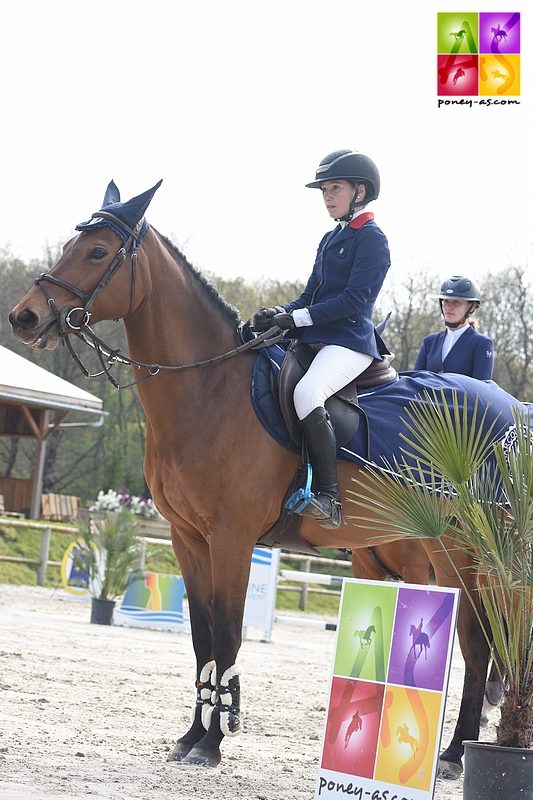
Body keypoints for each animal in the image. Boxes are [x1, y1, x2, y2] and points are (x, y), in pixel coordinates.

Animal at [7, 181, 490, 776]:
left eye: (98, 252)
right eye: (71, 247)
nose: (24, 318)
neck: (208, 389)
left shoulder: (232, 539)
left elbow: (228, 634)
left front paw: (214, 742)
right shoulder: (188, 539)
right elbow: (202, 639)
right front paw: (192, 735)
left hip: (458, 551)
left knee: (478, 643)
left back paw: (455, 754)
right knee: (478, 642)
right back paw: (452, 752)